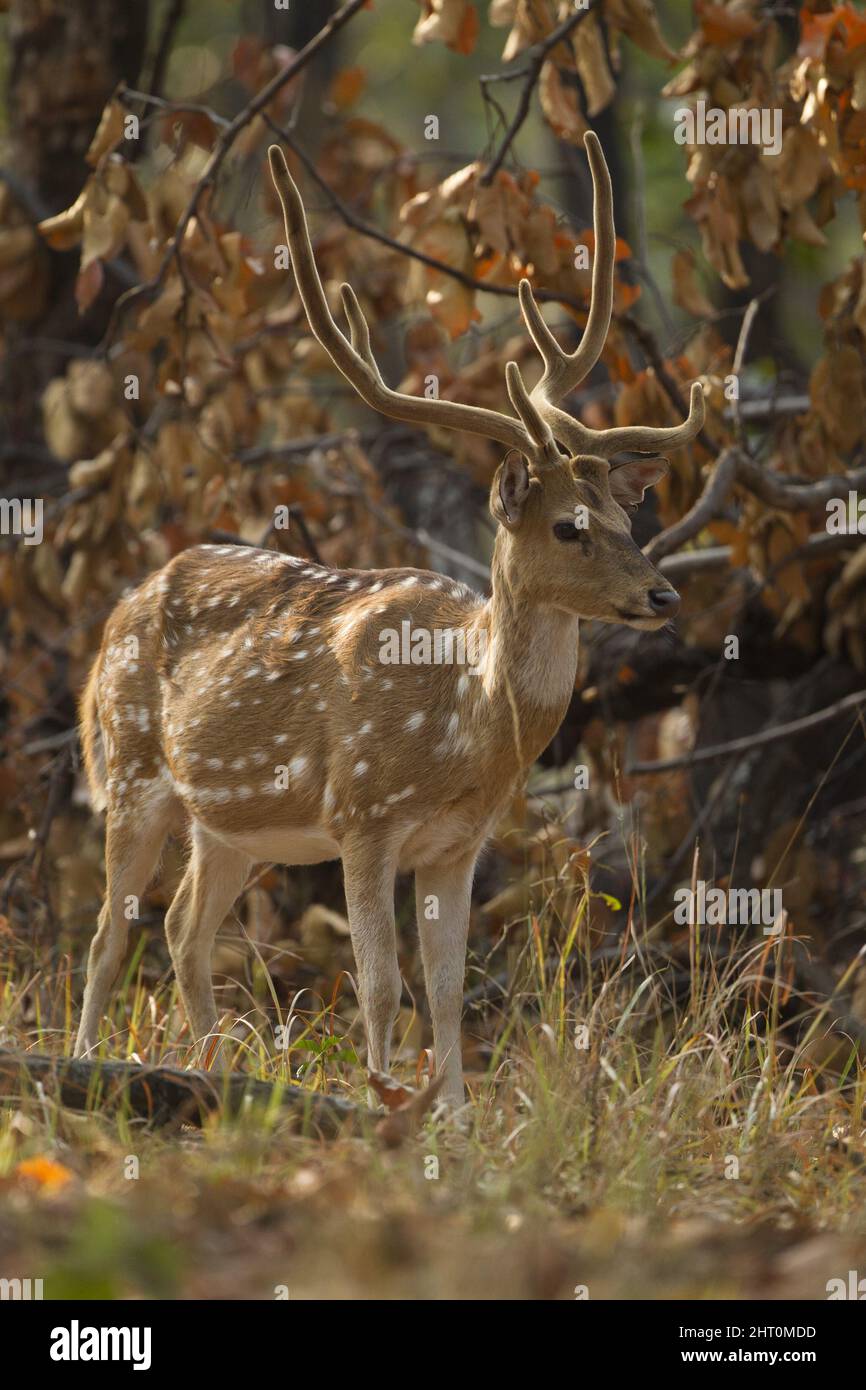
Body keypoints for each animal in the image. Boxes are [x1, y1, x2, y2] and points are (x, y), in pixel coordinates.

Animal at [74, 132, 708, 1106]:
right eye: (569, 527)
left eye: (626, 517)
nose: (663, 597)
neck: (463, 725)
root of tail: (115, 615)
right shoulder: (362, 814)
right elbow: (381, 985)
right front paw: (378, 1101)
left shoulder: (458, 844)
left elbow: (446, 989)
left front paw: (453, 1116)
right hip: (135, 766)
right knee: (110, 934)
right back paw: (87, 1063)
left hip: (230, 821)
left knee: (181, 928)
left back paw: (208, 1070)